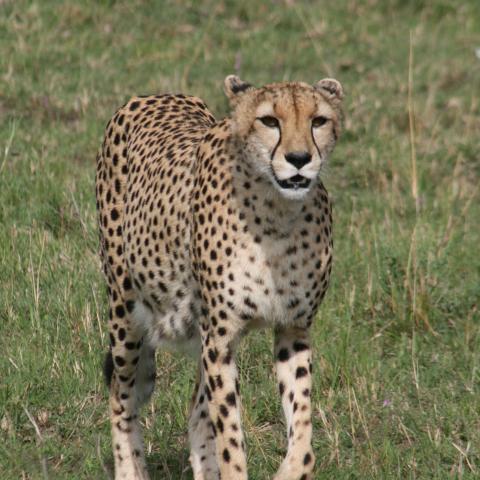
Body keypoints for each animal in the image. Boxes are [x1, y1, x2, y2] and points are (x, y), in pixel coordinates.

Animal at [96, 75, 342, 480]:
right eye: (269, 121)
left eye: (318, 121)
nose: (299, 159)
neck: (277, 215)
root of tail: (156, 94)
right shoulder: (221, 339)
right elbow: (229, 436)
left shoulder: (293, 329)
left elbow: (302, 431)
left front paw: (290, 468)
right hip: (126, 313)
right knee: (121, 395)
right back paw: (130, 469)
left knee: (195, 411)